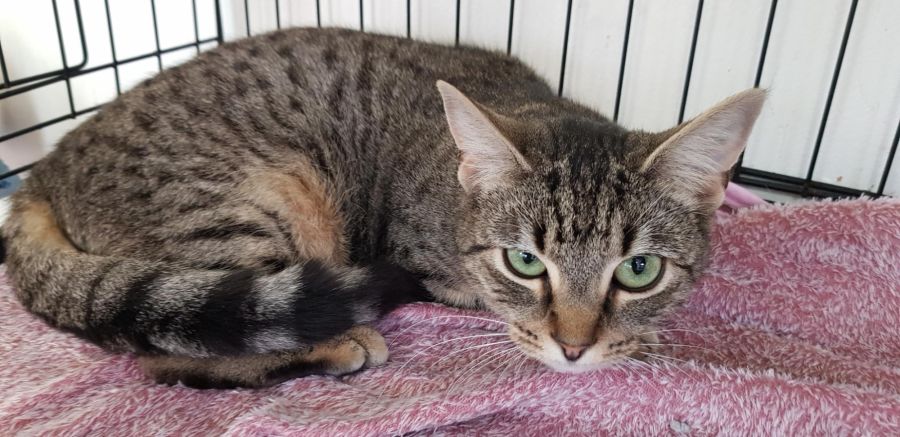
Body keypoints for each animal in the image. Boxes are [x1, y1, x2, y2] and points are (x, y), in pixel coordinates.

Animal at [2, 28, 764, 388]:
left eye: (639, 270)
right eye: (525, 261)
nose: (575, 347)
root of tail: (44, 169)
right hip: (244, 205)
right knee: (176, 352)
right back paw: (338, 342)